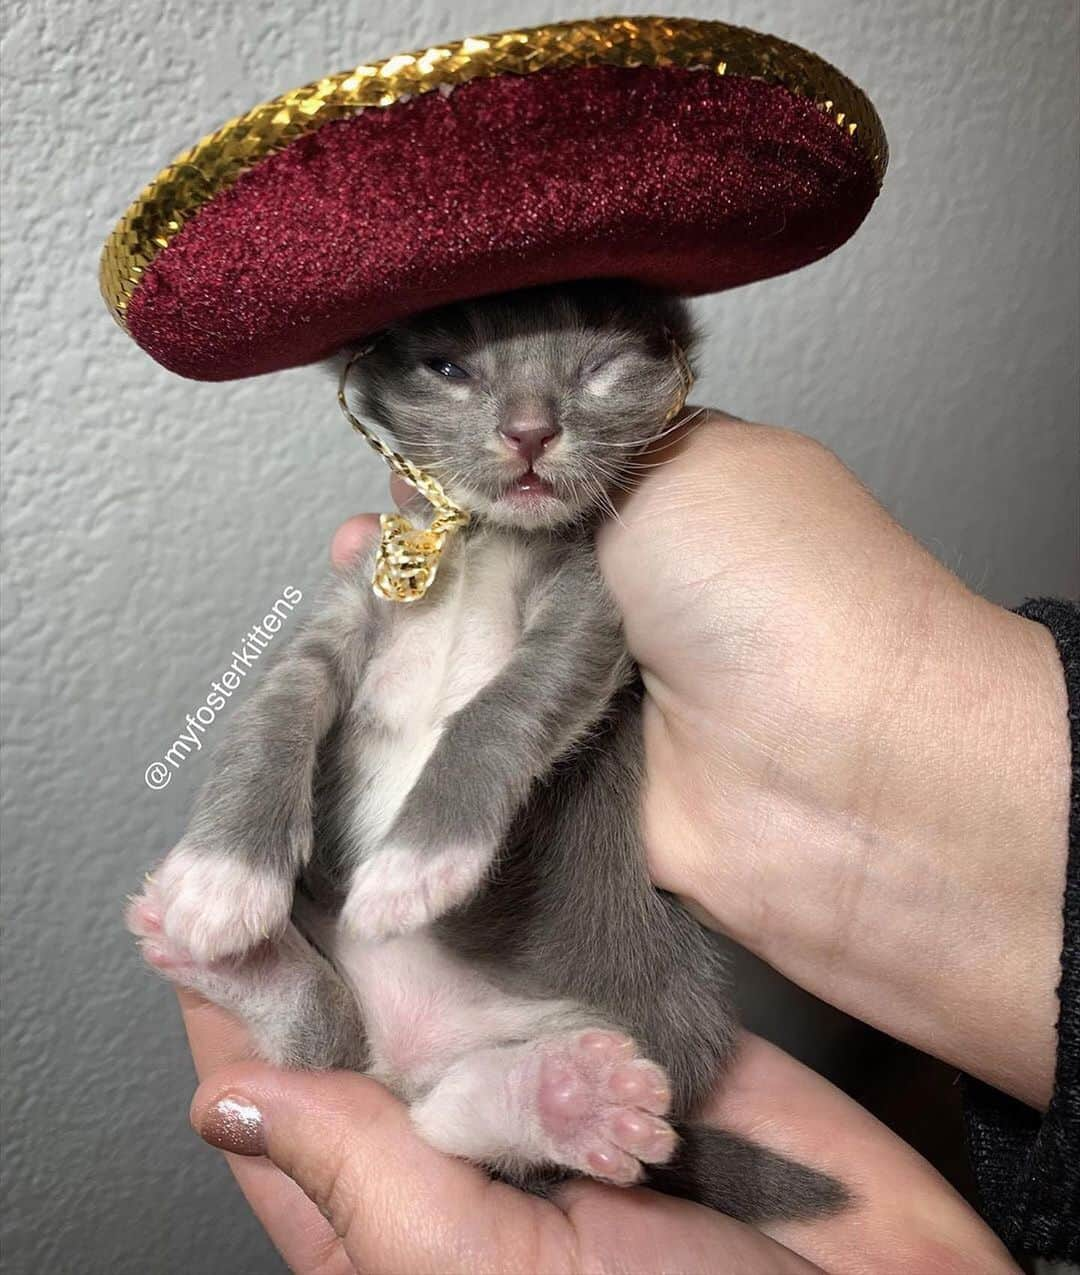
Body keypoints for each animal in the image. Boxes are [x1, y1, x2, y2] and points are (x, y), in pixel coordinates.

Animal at [128, 281, 851, 1224]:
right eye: (448, 367)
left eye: (600, 364)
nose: (530, 430)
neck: (484, 543)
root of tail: (404, 1052)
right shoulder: (348, 608)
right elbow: (275, 704)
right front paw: (221, 878)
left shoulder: (592, 614)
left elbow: (505, 701)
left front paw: (418, 863)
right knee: (327, 1039)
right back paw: (239, 964)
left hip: (656, 1021)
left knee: (468, 1125)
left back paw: (572, 1105)